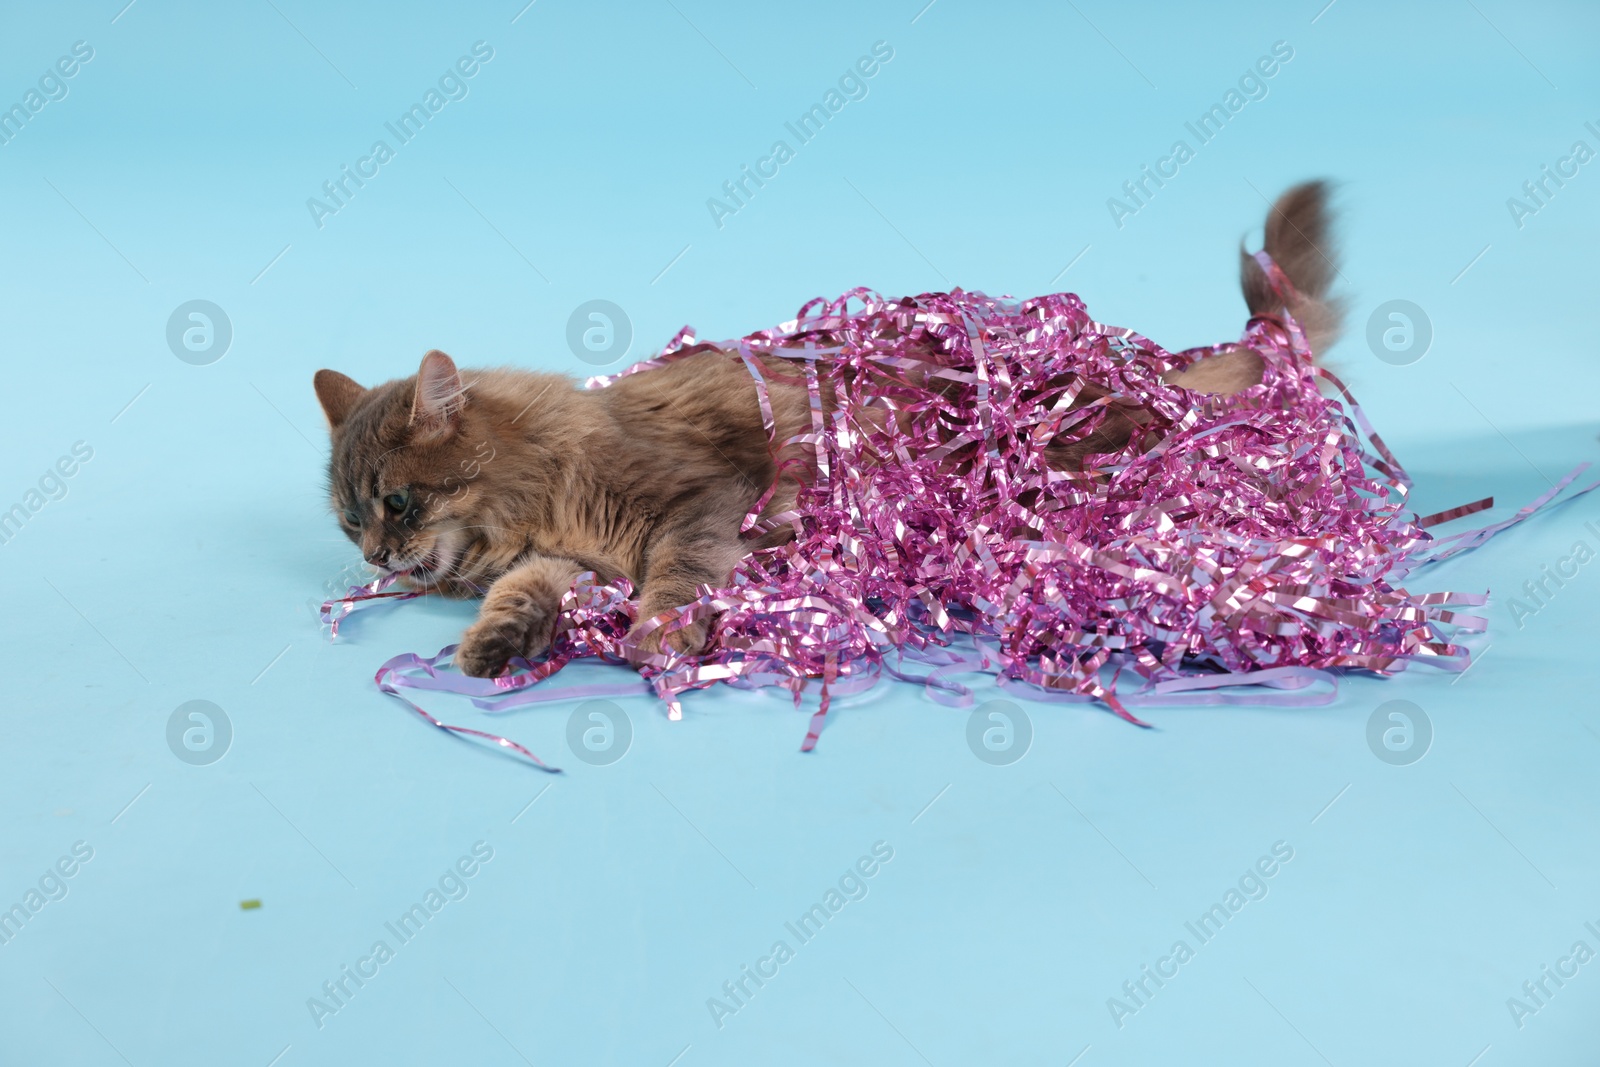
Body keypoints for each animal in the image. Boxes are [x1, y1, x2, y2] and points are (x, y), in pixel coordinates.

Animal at [312, 175, 1337, 675]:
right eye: (350, 520)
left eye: (398, 503)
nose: (373, 557)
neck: (544, 486)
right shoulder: (565, 561)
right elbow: (522, 597)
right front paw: (491, 647)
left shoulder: (698, 502)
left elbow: (674, 578)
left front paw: (657, 636)